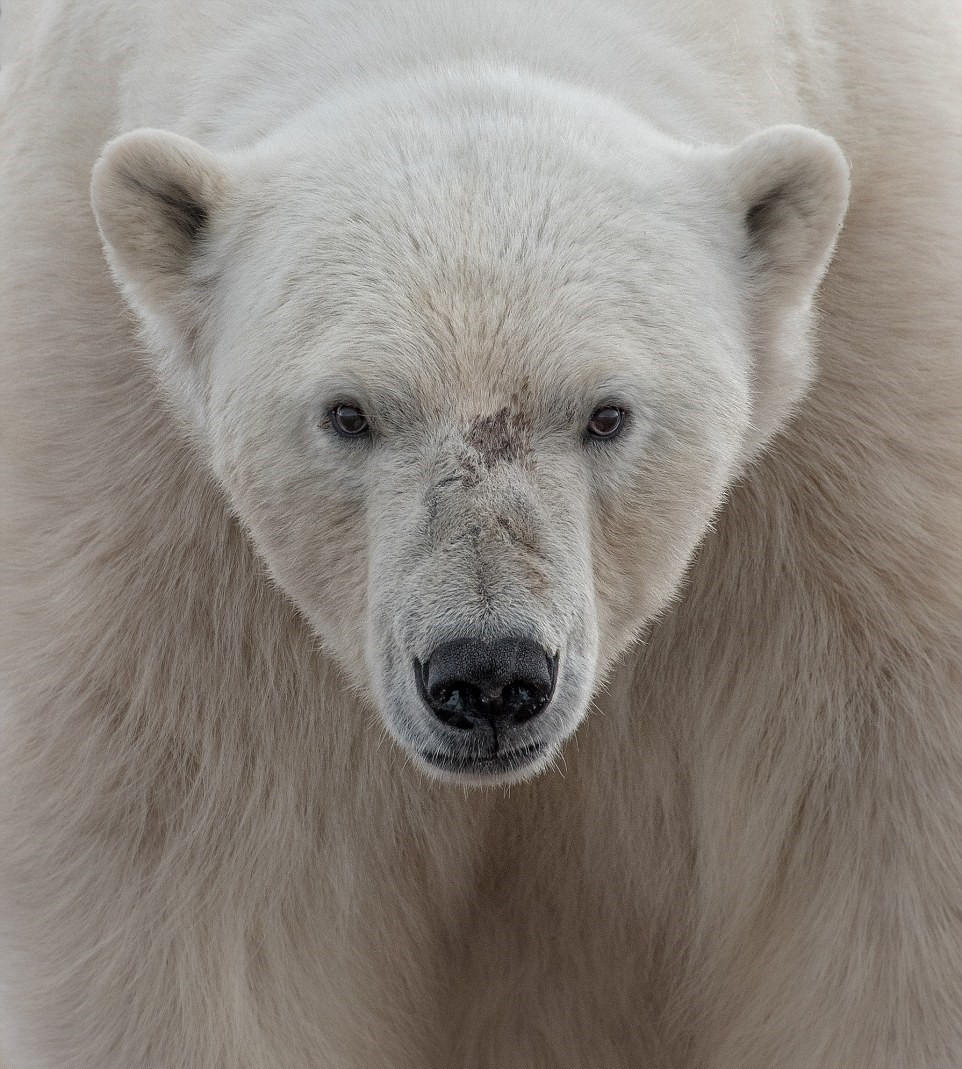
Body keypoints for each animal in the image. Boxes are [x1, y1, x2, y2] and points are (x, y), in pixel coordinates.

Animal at [1, 0, 962, 1064]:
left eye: (608, 413)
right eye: (348, 413)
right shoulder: (127, 483)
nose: (490, 673)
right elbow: (182, 866)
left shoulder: (873, 441)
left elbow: (872, 857)